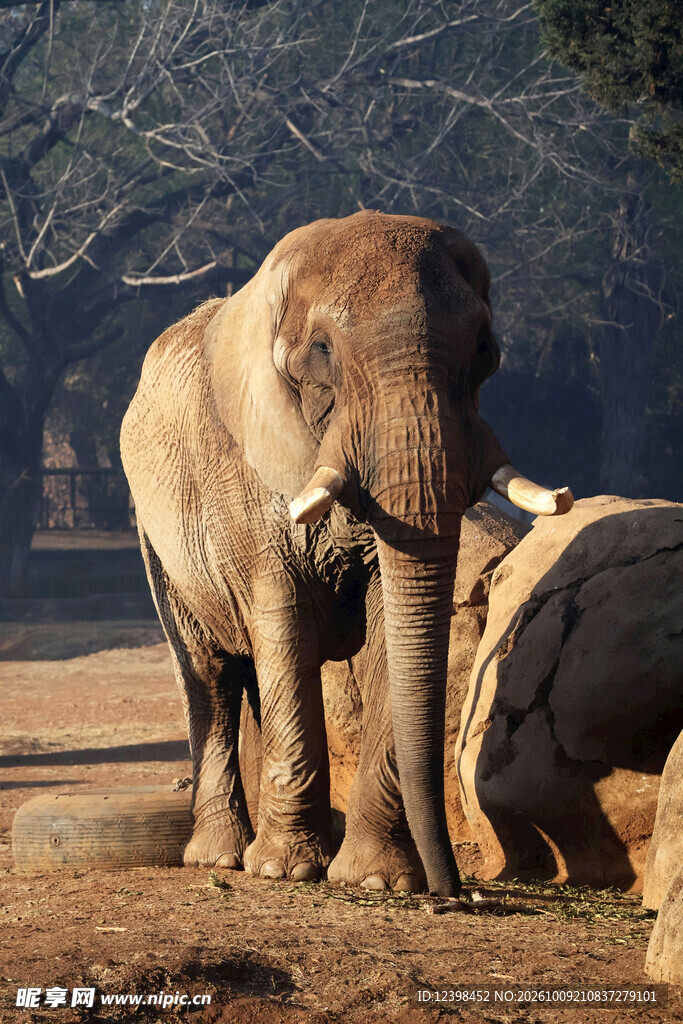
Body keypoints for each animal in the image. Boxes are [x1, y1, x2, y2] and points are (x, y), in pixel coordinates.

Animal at [121, 211, 573, 896]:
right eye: (322, 353)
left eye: (485, 350)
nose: (456, 895)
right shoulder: (242, 476)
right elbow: (282, 617)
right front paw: (286, 870)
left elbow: (388, 628)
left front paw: (377, 881)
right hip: (155, 537)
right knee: (211, 675)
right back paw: (220, 858)